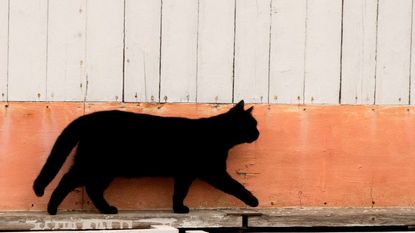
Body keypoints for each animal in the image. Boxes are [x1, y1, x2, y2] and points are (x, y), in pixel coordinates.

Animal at [33, 100, 260, 215]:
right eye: (252, 124)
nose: (258, 133)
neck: (219, 135)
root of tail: (88, 117)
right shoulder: (214, 171)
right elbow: (235, 185)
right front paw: (253, 200)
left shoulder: (185, 174)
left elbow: (179, 192)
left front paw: (178, 208)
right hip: (95, 165)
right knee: (68, 180)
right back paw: (52, 208)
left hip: (104, 170)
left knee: (92, 188)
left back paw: (107, 209)